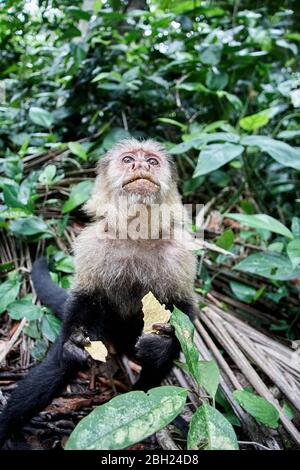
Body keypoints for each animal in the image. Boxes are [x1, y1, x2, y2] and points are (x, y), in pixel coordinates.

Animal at [0, 139, 197, 448]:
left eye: (152, 162)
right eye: (128, 159)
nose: (140, 165)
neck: (136, 233)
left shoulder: (181, 250)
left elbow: (184, 310)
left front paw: (163, 343)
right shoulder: (92, 243)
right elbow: (85, 298)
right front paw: (74, 343)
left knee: (153, 370)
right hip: (106, 330)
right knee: (57, 366)